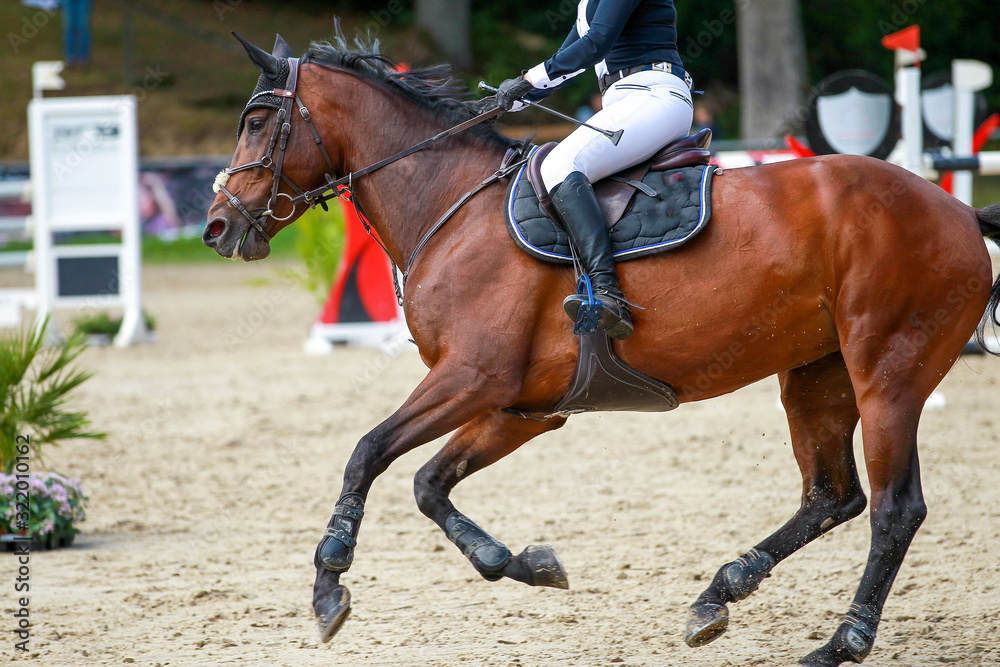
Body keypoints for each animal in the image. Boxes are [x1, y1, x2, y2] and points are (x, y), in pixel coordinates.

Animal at [203, 36, 1000, 667]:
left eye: (257, 121)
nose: (216, 226)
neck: (449, 203)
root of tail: (958, 211)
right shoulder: (521, 405)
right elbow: (429, 484)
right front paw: (525, 563)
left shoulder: (472, 377)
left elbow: (367, 452)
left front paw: (328, 585)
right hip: (815, 376)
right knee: (833, 495)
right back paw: (718, 595)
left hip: (887, 375)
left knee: (894, 509)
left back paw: (840, 643)